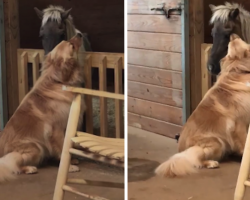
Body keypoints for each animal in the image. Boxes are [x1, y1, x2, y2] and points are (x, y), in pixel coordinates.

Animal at [0, 33, 85, 183]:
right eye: (71, 45)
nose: (79, 34)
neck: (58, 81)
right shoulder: (56, 129)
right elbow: (62, 148)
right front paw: (68, 167)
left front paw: (71, 160)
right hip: (36, 147)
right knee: (12, 164)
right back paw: (29, 168)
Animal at [155, 34, 250, 178]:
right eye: (234, 42)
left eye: (230, 44)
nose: (232, 35)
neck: (238, 70)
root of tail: (181, 152)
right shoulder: (239, 125)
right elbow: (244, 145)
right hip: (216, 142)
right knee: (196, 160)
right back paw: (211, 163)